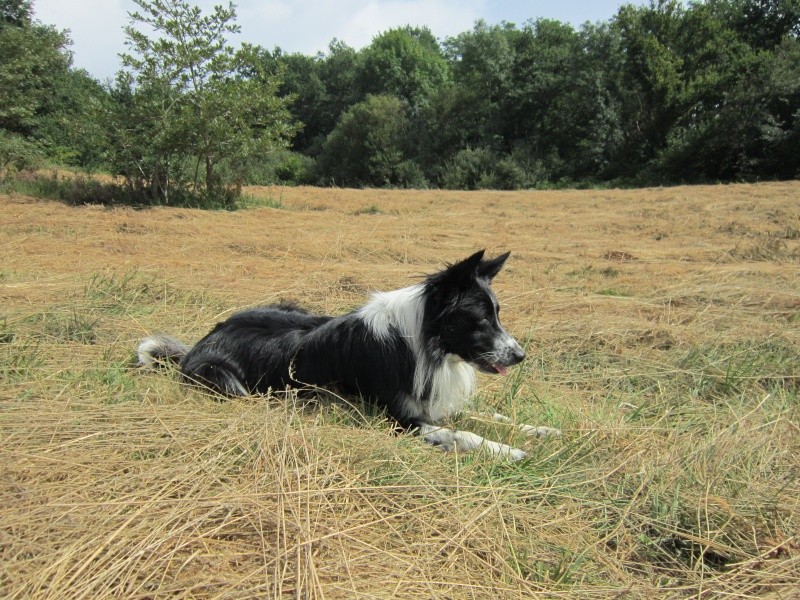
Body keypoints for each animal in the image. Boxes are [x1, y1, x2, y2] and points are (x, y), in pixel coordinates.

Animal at [138, 248, 560, 460]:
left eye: (498, 314)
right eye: (480, 320)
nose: (520, 356)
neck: (424, 344)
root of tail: (201, 340)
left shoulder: (435, 402)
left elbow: (490, 416)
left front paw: (540, 430)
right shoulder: (402, 420)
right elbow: (467, 432)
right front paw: (508, 450)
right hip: (225, 379)